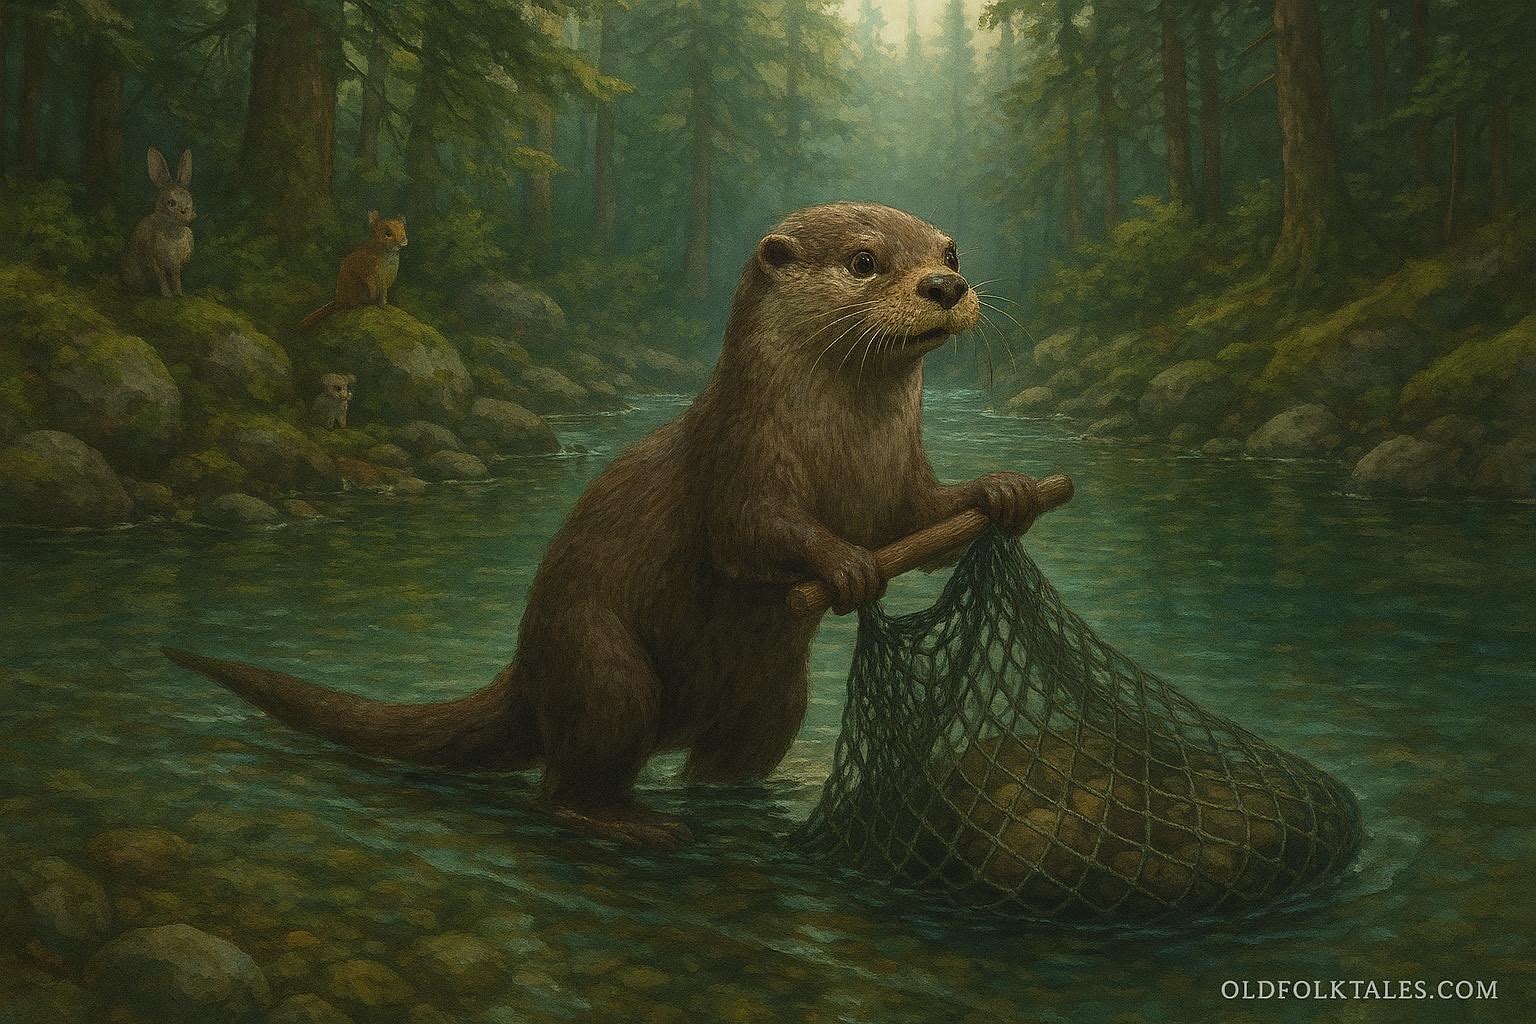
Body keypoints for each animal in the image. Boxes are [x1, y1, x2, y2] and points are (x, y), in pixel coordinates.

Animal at [165, 203, 1043, 847]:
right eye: (865, 261)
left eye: (950, 250)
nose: (945, 285)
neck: (841, 448)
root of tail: (526, 671)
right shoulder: (736, 463)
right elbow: (752, 536)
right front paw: (846, 562)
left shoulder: (899, 482)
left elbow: (925, 520)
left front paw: (1002, 491)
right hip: (599, 661)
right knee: (569, 774)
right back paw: (630, 822)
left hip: (770, 694)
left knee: (732, 750)